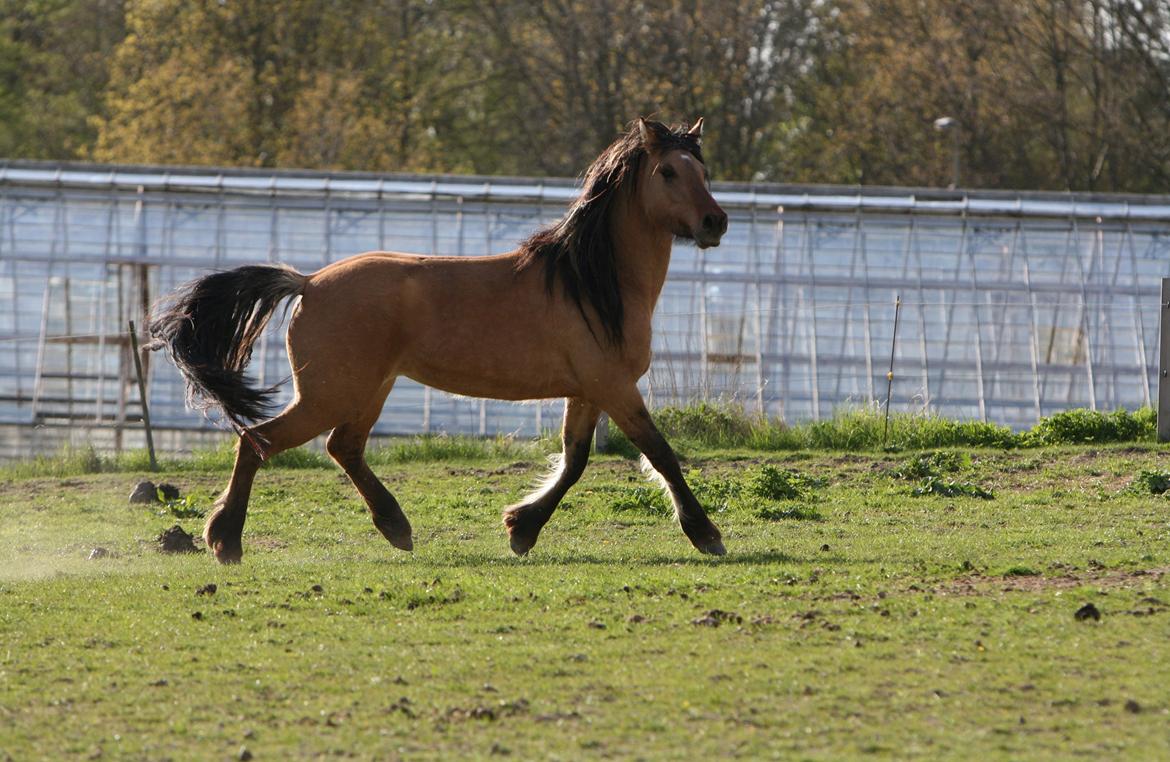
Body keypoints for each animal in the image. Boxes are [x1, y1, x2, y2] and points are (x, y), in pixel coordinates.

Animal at [150, 117, 725, 559]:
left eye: (703, 170)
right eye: (668, 171)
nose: (715, 222)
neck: (591, 283)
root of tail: (308, 282)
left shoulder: (586, 392)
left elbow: (575, 460)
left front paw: (521, 528)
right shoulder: (613, 387)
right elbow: (660, 453)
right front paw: (706, 535)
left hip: (368, 389)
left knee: (343, 447)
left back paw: (396, 528)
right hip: (330, 394)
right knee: (260, 441)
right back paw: (226, 541)